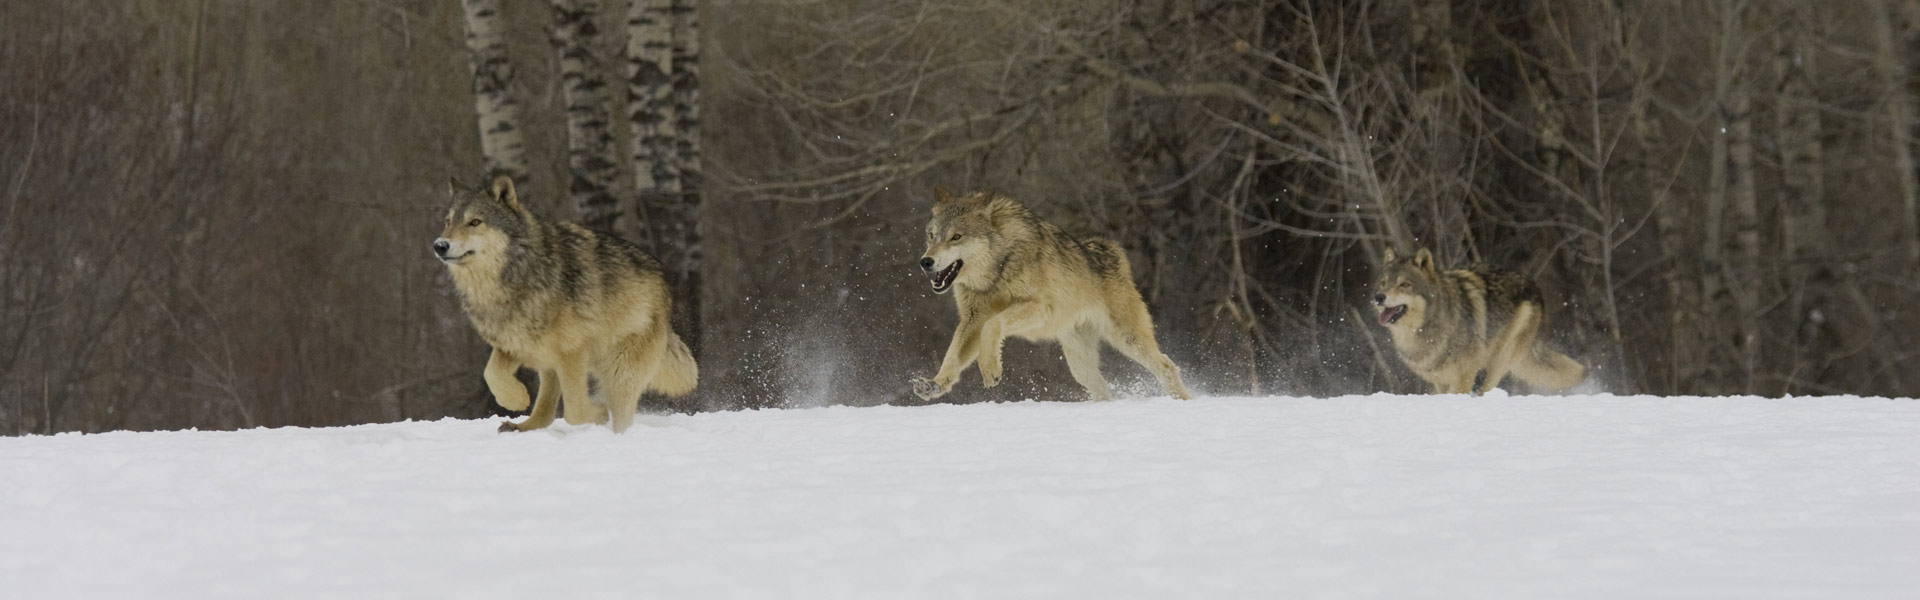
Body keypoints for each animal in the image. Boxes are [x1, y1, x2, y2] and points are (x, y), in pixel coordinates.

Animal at [435, 173, 698, 430]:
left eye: (475, 222)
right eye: (448, 222)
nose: (440, 245)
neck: (517, 275)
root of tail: (664, 283)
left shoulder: (572, 352)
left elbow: (575, 412)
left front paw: (598, 414)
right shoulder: (515, 344)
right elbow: (491, 373)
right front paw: (516, 399)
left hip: (619, 371)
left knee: (618, 414)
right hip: (549, 362)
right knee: (546, 413)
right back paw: (521, 426)